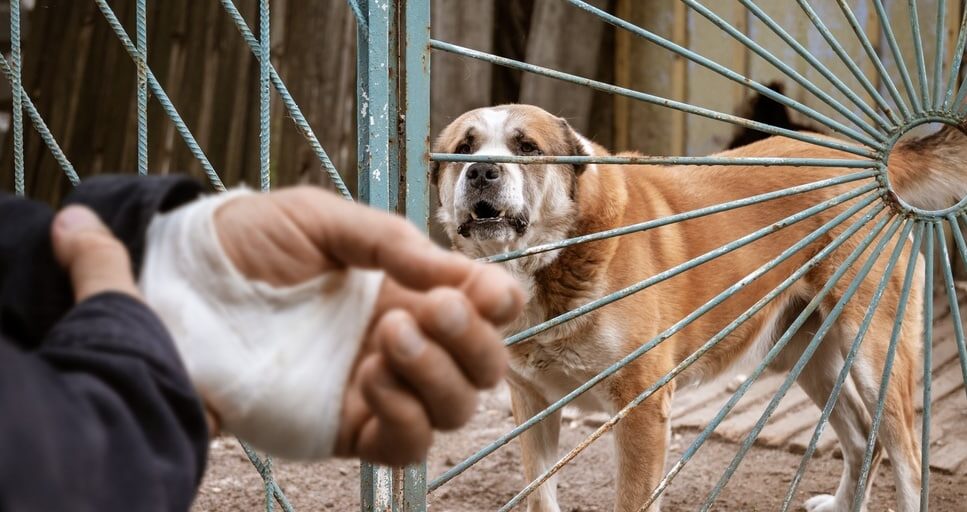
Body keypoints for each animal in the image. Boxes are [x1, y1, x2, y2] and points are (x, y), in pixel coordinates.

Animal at [436, 102, 967, 510]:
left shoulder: (642, 408)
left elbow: (633, 499)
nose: (481, 170)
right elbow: (538, 494)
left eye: (527, 147)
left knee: (906, 457)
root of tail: (872, 167)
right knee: (862, 439)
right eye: (462, 149)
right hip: (806, 354)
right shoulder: (532, 404)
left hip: (877, 357)